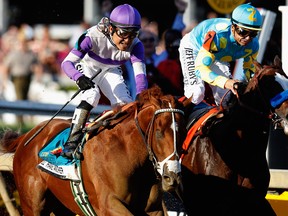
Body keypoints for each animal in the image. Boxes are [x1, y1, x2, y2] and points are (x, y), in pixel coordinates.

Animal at [0, 86, 187, 216]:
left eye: (183, 132)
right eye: (159, 132)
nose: (172, 177)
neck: (128, 154)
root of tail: (26, 137)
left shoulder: (153, 208)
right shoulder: (109, 204)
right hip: (33, 205)